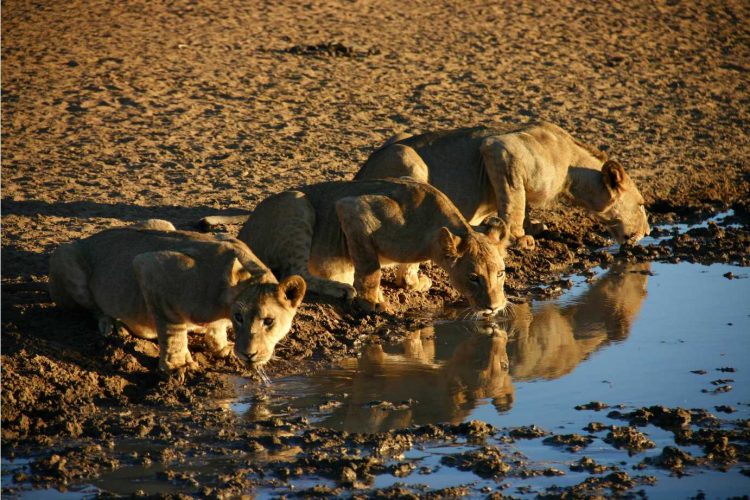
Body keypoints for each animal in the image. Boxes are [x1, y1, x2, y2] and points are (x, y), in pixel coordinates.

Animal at [48, 219, 306, 378]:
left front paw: (221, 347)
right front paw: (179, 365)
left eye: (268, 321)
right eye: (240, 317)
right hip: (64, 255)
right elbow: (173, 330)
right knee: (93, 309)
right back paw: (114, 325)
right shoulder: (150, 265)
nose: (247, 354)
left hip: (162, 223)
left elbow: (216, 329)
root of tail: (89, 237)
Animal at [229, 178, 512, 314]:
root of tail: (243, 232)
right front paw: (371, 302)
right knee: (295, 273)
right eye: (473, 277)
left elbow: (408, 267)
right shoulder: (352, 209)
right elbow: (370, 268)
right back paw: (341, 287)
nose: (495, 307)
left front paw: (413, 282)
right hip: (296, 203)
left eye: (500, 273)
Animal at [356, 121, 648, 246]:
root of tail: (359, 174)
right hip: (406, 156)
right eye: (643, 205)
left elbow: (522, 202)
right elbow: (513, 201)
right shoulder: (500, 149)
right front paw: (520, 236)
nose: (646, 232)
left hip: (399, 136)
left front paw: (534, 226)